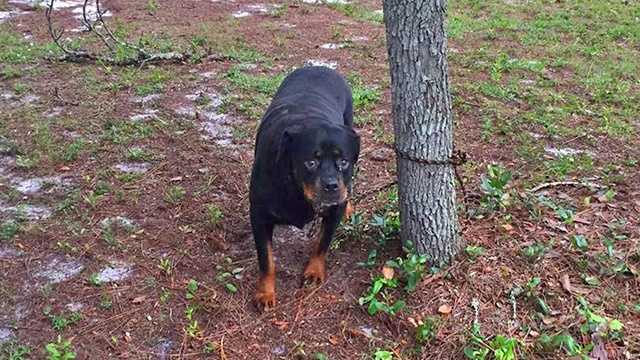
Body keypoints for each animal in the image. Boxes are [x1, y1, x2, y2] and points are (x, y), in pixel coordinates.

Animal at [249, 66, 360, 308]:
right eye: (310, 162)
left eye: (343, 161)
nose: (331, 185)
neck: (297, 190)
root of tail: (320, 66)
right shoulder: (259, 215)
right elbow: (266, 259)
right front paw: (265, 293)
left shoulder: (333, 211)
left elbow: (323, 243)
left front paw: (314, 271)